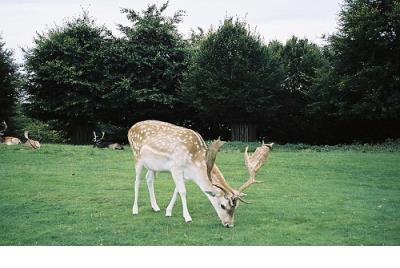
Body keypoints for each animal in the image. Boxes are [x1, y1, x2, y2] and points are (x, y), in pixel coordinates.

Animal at [126, 120, 274, 227]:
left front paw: (168, 212)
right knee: (137, 181)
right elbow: (183, 191)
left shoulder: (185, 174)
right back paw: (135, 210)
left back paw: (155, 207)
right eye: (223, 205)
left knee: (149, 178)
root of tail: (130, 129)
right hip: (137, 156)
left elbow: (176, 191)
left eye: (236, 206)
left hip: (152, 166)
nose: (229, 224)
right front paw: (187, 217)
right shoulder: (176, 167)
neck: (194, 164)